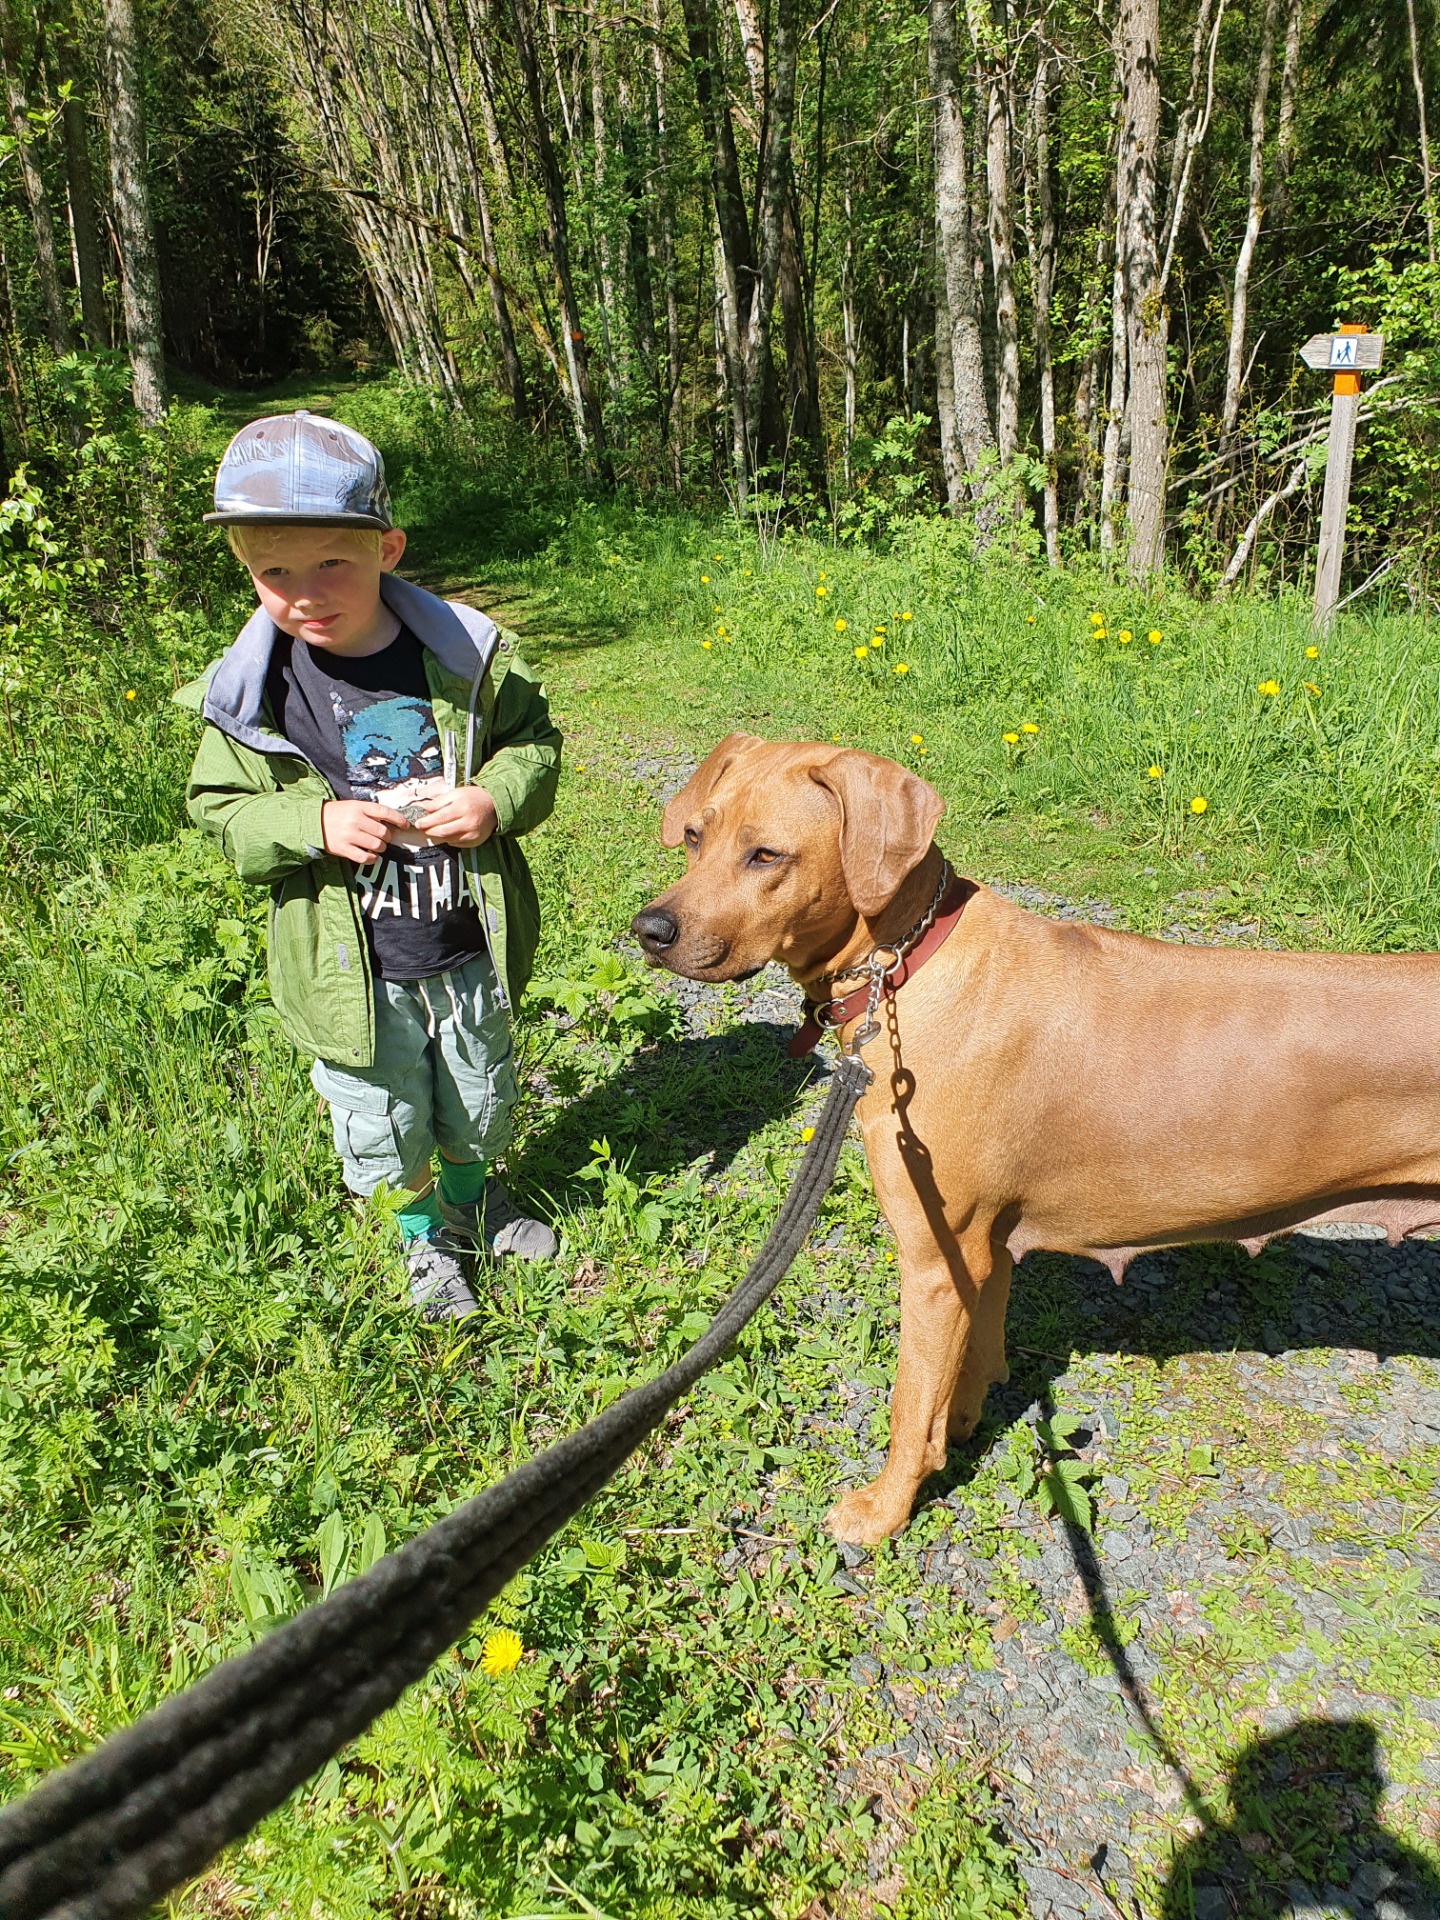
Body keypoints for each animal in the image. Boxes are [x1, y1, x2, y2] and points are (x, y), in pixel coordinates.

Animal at [633, 729, 1440, 1543]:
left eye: (766, 854)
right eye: (694, 836)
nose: (649, 931)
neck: (910, 967)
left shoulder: (934, 1258)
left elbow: (908, 1405)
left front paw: (884, 1510)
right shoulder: (982, 1250)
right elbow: (970, 1366)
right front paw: (961, 1430)